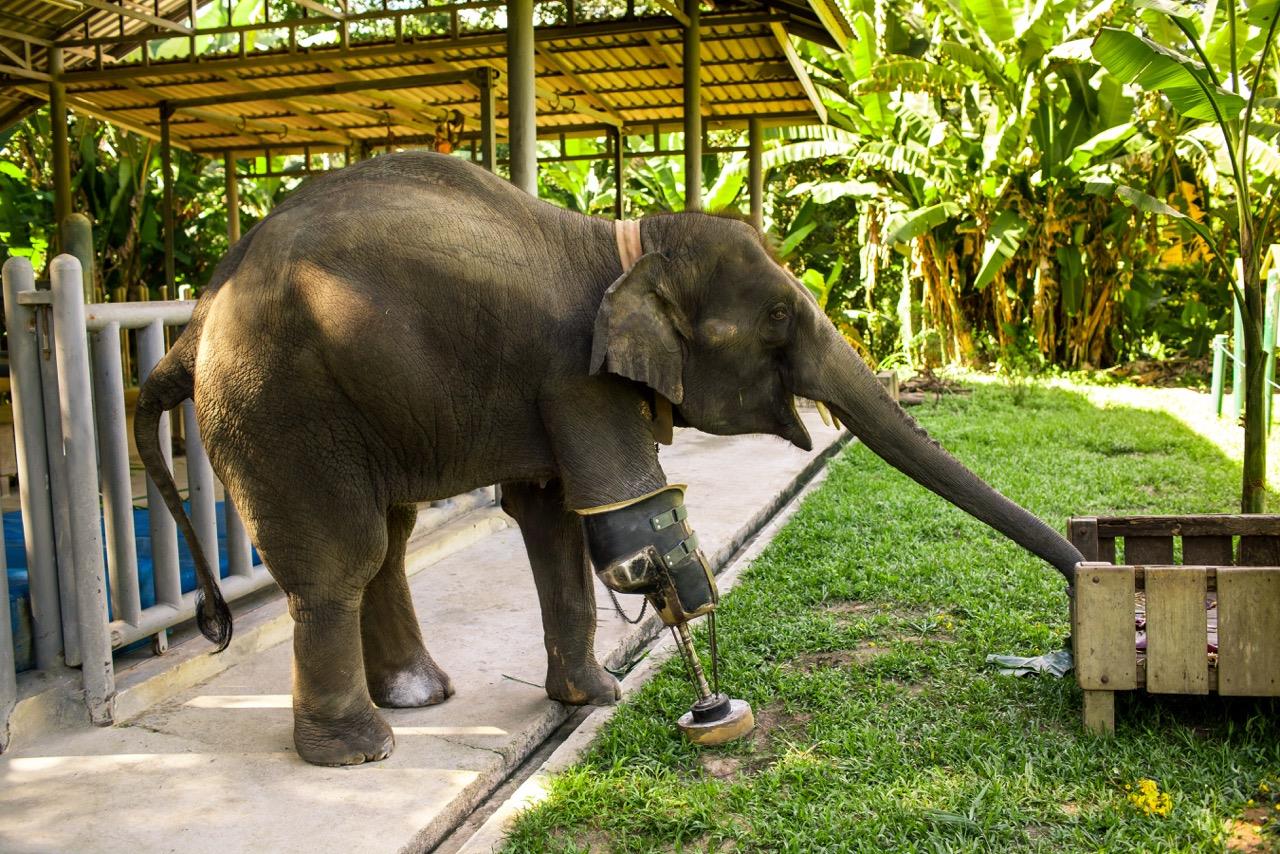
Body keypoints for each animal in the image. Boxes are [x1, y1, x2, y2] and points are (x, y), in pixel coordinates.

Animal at [137, 151, 1080, 768]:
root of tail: (198, 316)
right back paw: (360, 751)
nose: (1072, 618)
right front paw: (673, 626)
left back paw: (419, 697)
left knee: (390, 538)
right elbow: (625, 517)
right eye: (779, 316)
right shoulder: (576, 376)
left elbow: (555, 517)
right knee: (345, 556)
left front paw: (597, 699)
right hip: (283, 405)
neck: (627, 243)